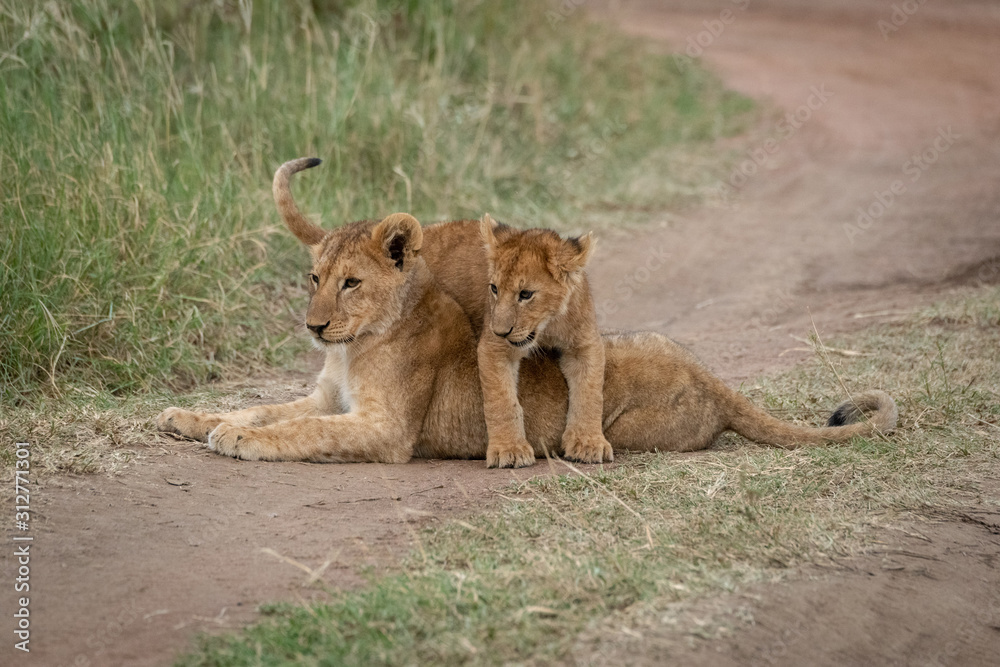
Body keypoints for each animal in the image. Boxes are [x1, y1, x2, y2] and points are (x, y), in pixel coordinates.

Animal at [473, 215, 612, 468]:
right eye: (494, 288)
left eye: (526, 294)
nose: (499, 332)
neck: (547, 325)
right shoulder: (493, 348)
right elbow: (502, 401)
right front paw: (509, 449)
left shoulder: (585, 346)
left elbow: (590, 394)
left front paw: (588, 443)